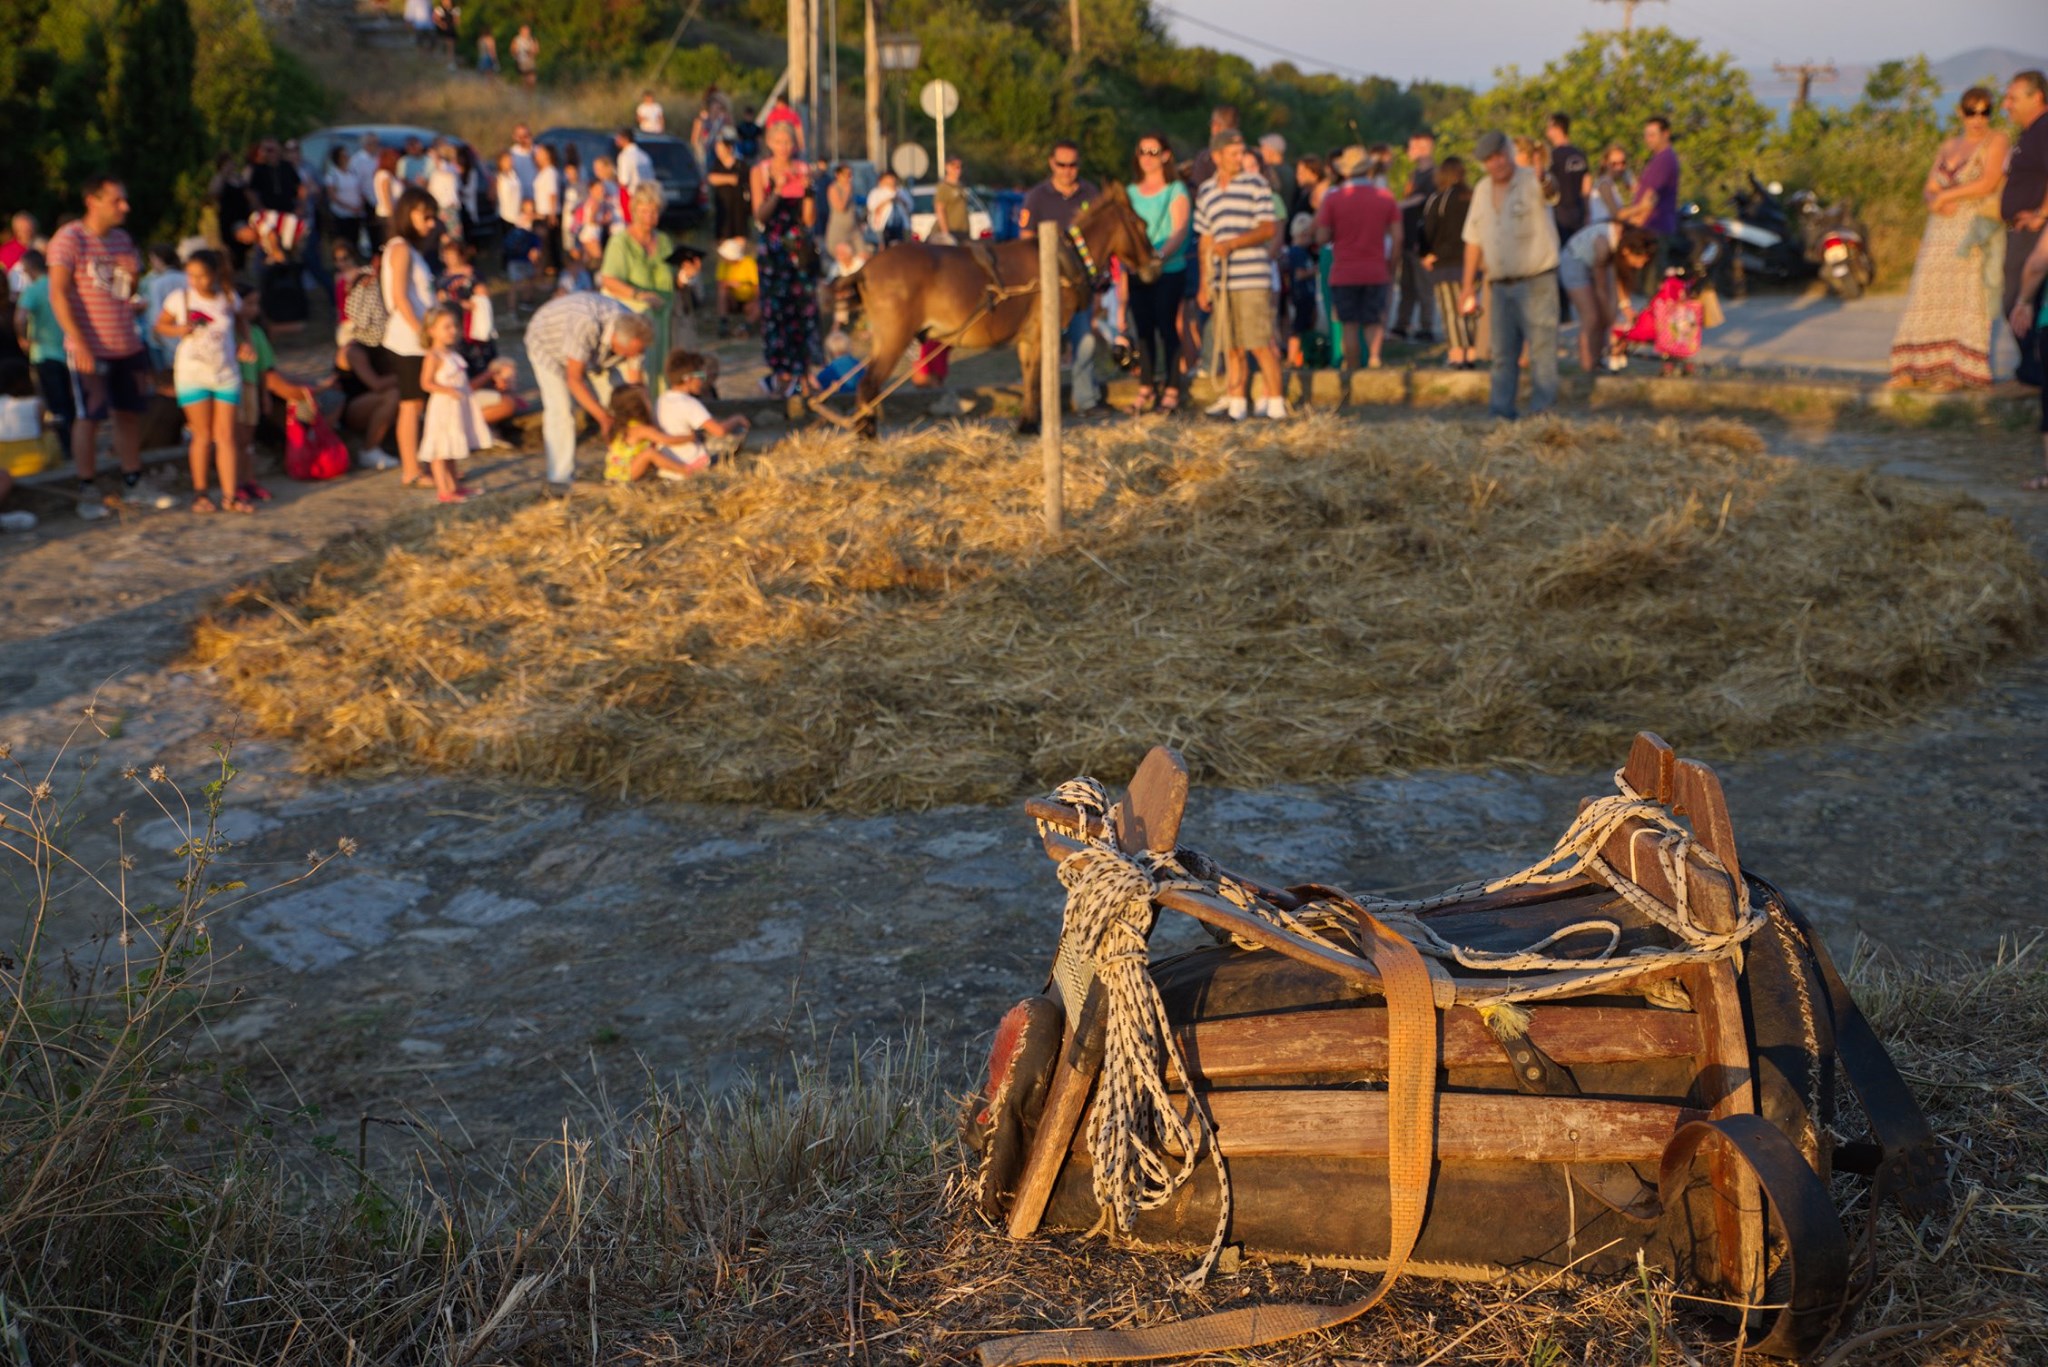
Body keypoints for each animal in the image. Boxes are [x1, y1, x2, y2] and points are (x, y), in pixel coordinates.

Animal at [843, 181, 1155, 436]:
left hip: (884, 340)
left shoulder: (1027, 339)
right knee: (868, 385)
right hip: (894, 338)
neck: (1063, 259)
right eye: (1140, 223)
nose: (1154, 263)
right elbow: (1037, 380)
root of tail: (866, 269)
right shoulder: (1042, 334)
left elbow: (1029, 377)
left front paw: (1026, 424)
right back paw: (866, 436)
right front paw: (1034, 425)